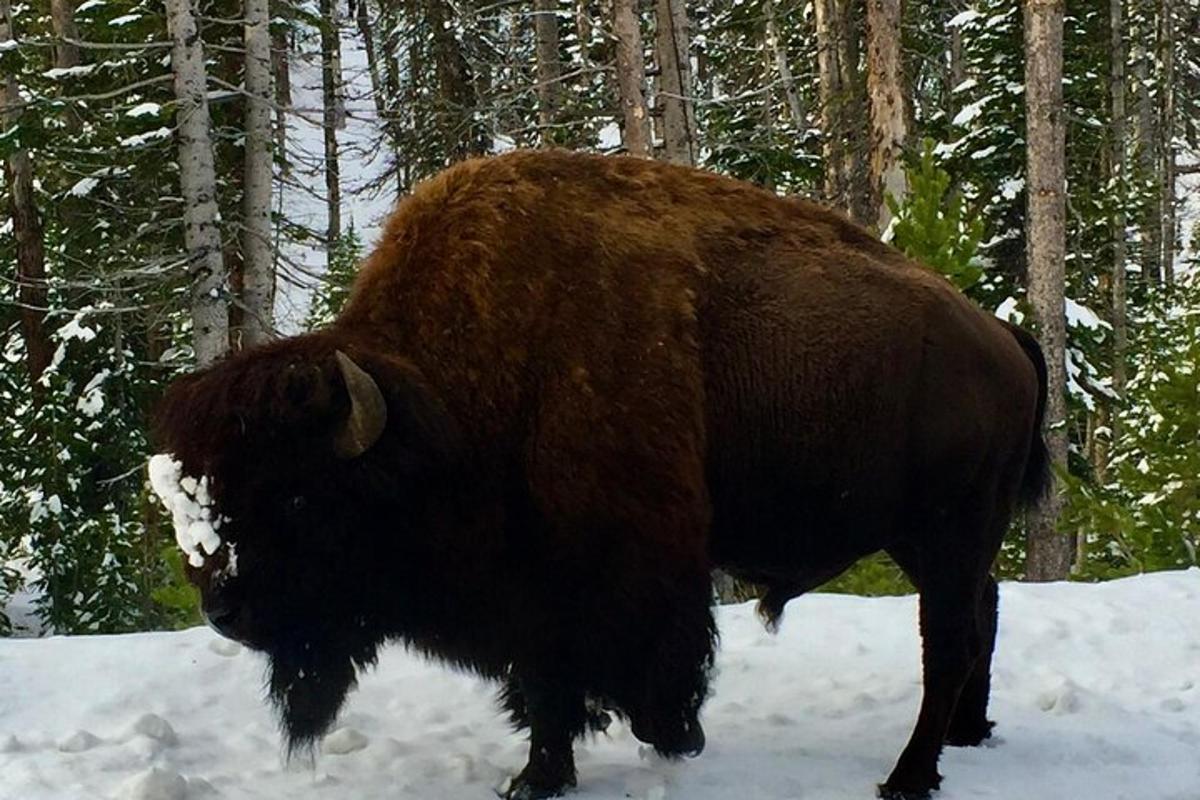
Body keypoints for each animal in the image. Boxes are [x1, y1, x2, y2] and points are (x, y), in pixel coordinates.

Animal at [150, 150, 1047, 800]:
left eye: (298, 493)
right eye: (206, 495)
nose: (224, 609)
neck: (442, 410)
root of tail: (1001, 336)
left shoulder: (619, 573)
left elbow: (630, 672)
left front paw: (669, 738)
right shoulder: (532, 597)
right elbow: (545, 690)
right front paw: (535, 779)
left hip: (948, 530)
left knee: (949, 640)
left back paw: (907, 778)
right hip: (941, 539)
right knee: (983, 614)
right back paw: (965, 737)